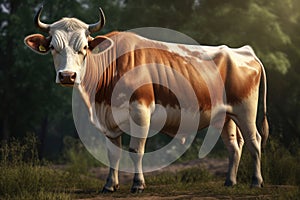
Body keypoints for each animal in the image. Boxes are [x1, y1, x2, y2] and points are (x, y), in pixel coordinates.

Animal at [24, 6, 268, 193]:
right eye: (53, 47)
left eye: (84, 48)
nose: (67, 76)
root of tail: (244, 52)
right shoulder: (108, 118)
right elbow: (113, 153)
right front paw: (109, 185)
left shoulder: (140, 111)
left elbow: (135, 150)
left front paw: (138, 184)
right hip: (225, 115)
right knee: (234, 145)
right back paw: (230, 181)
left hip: (246, 110)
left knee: (254, 140)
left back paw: (256, 182)